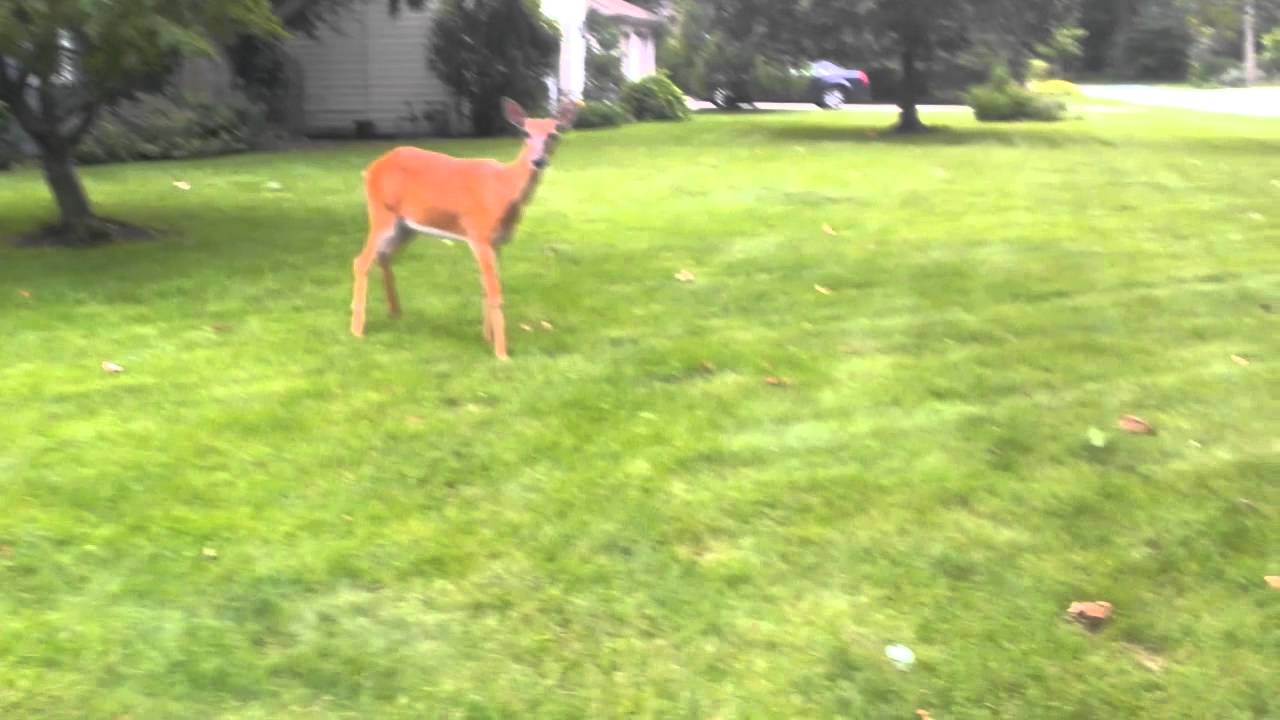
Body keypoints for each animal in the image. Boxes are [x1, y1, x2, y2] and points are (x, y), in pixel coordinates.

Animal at [350, 97, 579, 360]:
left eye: (554, 133)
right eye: (525, 133)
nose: (538, 160)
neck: (504, 189)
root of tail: (370, 169)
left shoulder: (497, 242)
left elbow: (485, 288)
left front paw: (487, 338)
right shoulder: (479, 234)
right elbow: (495, 292)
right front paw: (501, 354)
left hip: (406, 226)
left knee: (384, 256)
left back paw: (395, 314)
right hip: (381, 213)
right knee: (361, 261)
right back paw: (357, 330)